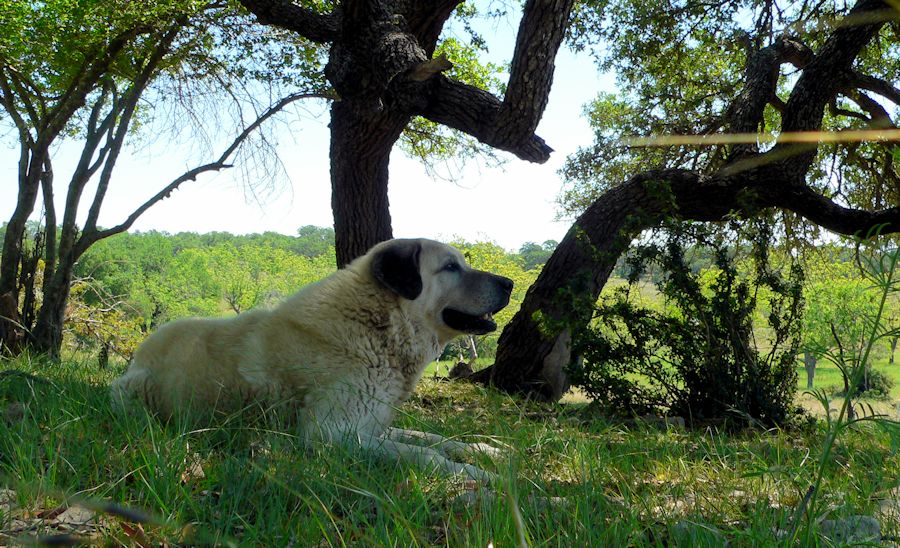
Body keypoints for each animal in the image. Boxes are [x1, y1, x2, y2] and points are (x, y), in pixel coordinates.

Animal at [110, 238, 512, 482]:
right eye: (450, 267)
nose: (509, 283)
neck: (379, 326)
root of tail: (141, 352)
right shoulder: (333, 434)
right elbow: (425, 454)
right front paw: (487, 477)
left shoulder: (371, 424)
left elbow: (434, 438)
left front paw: (490, 451)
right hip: (132, 394)